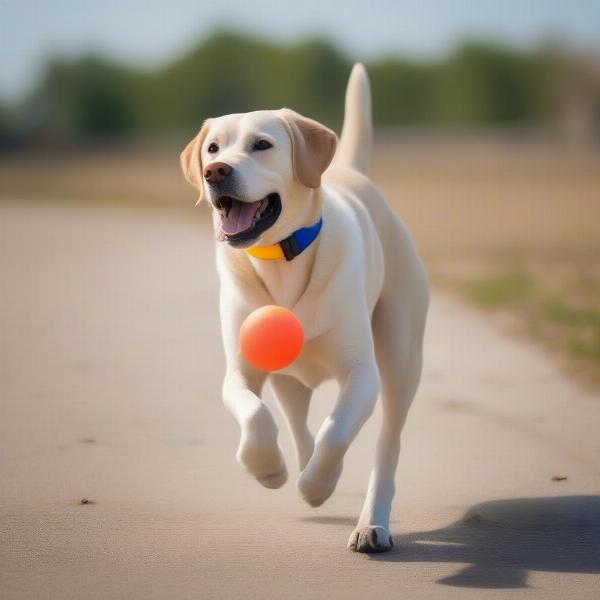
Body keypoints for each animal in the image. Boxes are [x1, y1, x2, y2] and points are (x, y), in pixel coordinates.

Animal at [180, 63, 428, 552]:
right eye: (213, 147)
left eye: (262, 145)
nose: (215, 170)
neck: (282, 259)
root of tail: (349, 171)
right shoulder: (241, 370)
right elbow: (255, 415)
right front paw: (266, 467)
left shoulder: (362, 374)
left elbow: (337, 431)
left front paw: (318, 484)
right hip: (288, 377)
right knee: (296, 422)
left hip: (401, 359)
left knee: (386, 445)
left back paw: (370, 522)